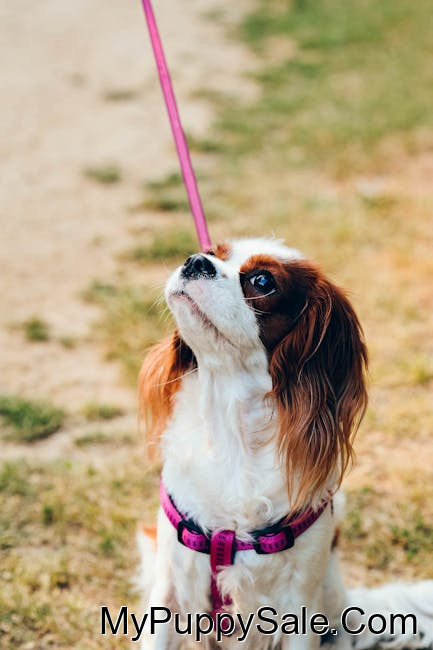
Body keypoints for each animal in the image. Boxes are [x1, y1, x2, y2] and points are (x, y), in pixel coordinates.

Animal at [138, 238, 433, 649]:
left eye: (263, 281)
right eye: (212, 252)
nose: (196, 261)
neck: (233, 431)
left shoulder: (301, 609)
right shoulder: (169, 590)